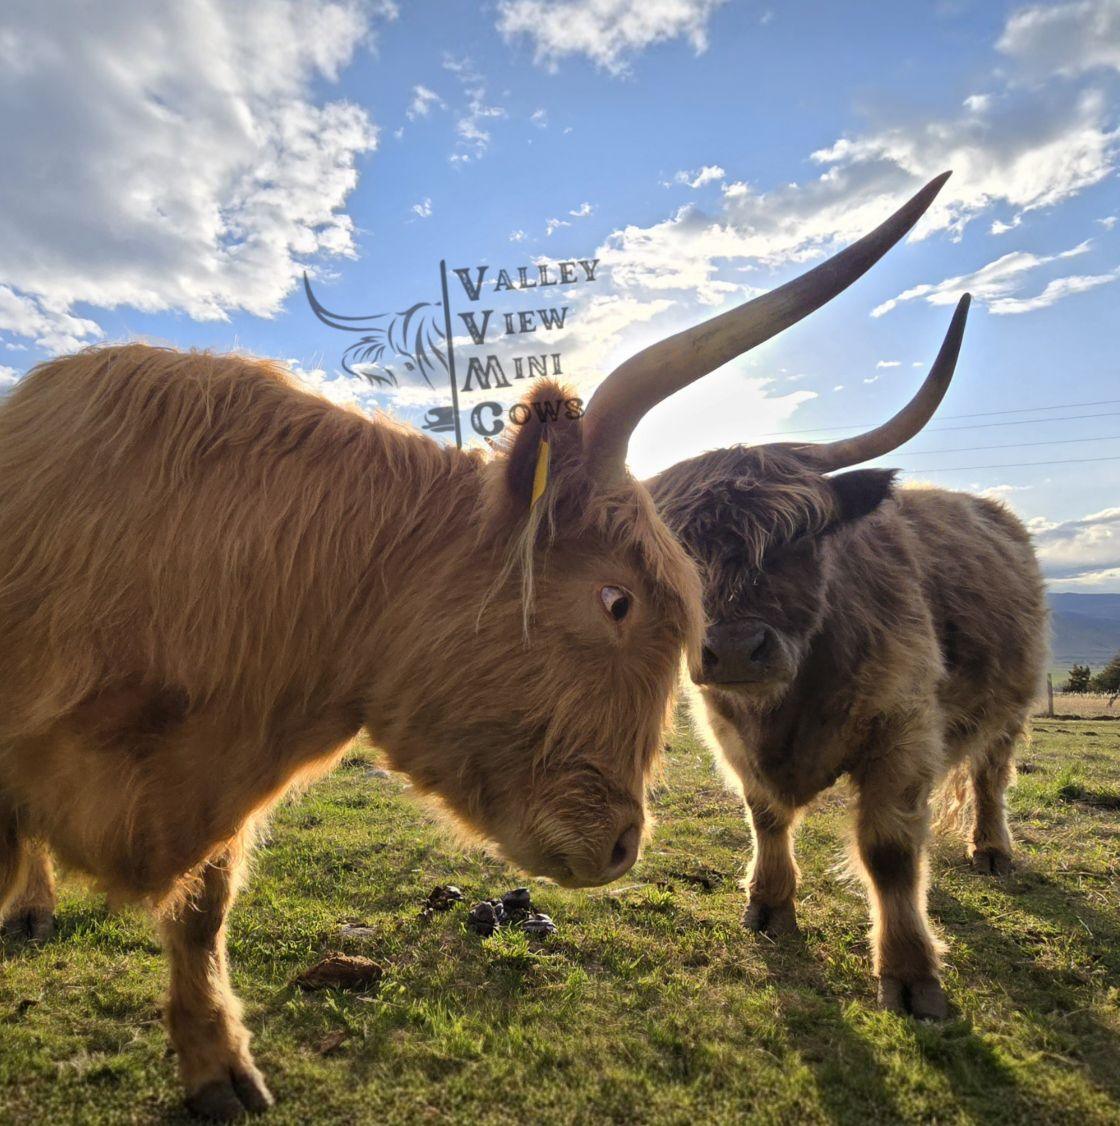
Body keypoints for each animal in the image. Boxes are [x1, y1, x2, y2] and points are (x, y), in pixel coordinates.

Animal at [649, 296, 1048, 1021]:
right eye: (677, 552)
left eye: (800, 536)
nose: (735, 649)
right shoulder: (729, 733)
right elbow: (766, 816)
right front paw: (769, 906)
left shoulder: (902, 729)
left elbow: (887, 850)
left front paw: (912, 975)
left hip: (1013, 702)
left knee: (989, 776)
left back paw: (992, 851)